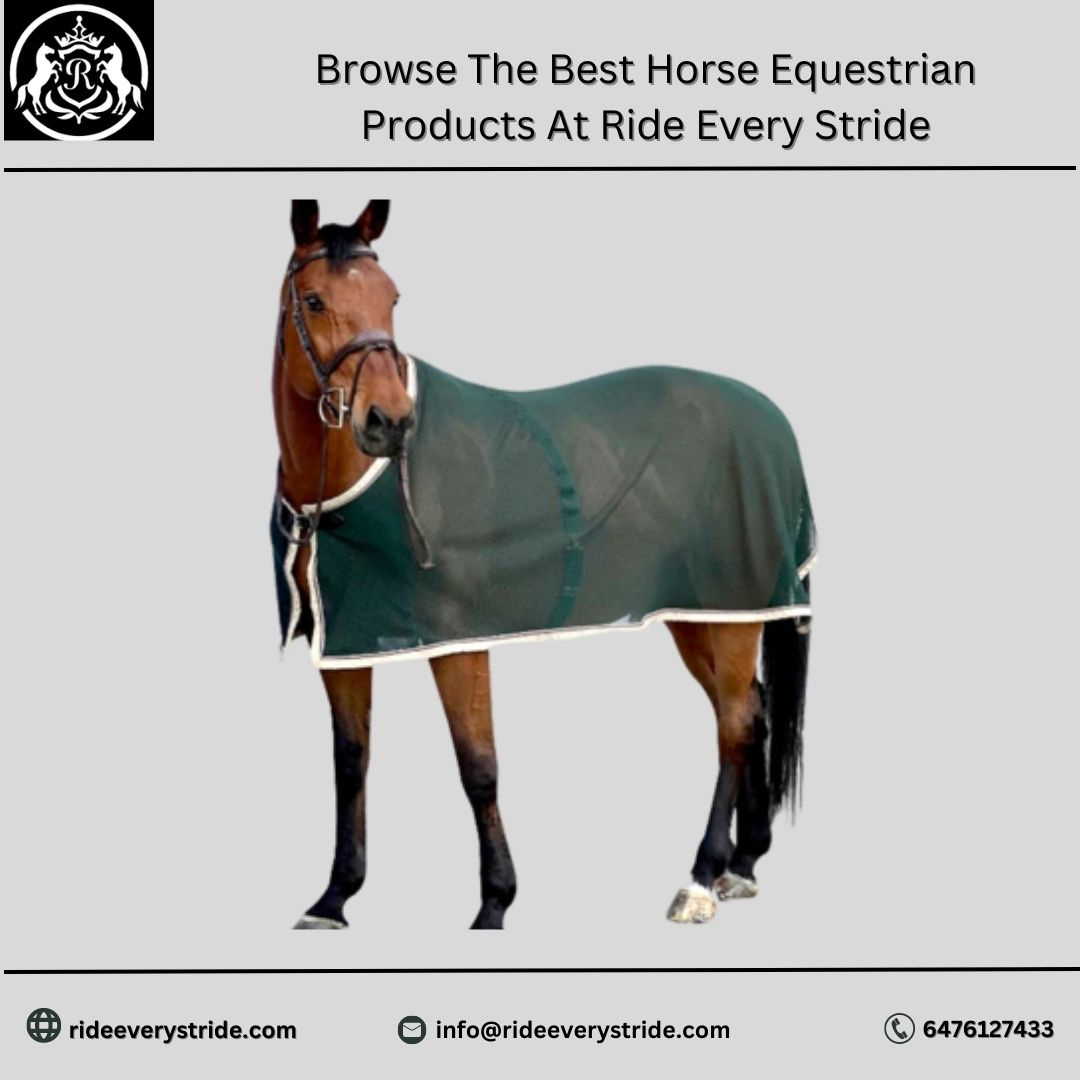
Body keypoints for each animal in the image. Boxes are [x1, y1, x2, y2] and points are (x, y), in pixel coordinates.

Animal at [272, 199, 814, 929]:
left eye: (392, 298)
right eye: (315, 299)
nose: (390, 422)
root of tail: (771, 418)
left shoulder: (458, 643)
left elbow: (478, 766)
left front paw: (494, 903)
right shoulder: (345, 641)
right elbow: (351, 761)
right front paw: (334, 898)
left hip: (734, 609)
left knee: (732, 723)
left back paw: (700, 878)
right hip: (699, 615)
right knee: (749, 713)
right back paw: (743, 863)